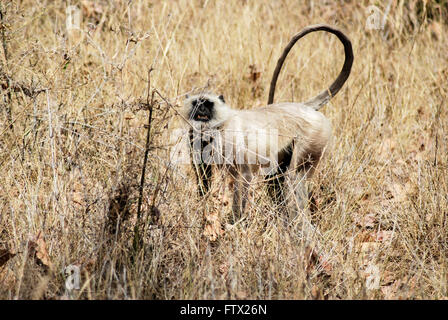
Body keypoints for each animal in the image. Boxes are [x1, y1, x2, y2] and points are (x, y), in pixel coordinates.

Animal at [182, 24, 354, 225]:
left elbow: (244, 177)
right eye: (196, 103)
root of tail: (303, 107)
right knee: (277, 180)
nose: (201, 109)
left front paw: (236, 221)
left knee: (293, 179)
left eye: (208, 104)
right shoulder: (195, 139)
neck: (215, 129)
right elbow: (203, 175)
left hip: (314, 137)